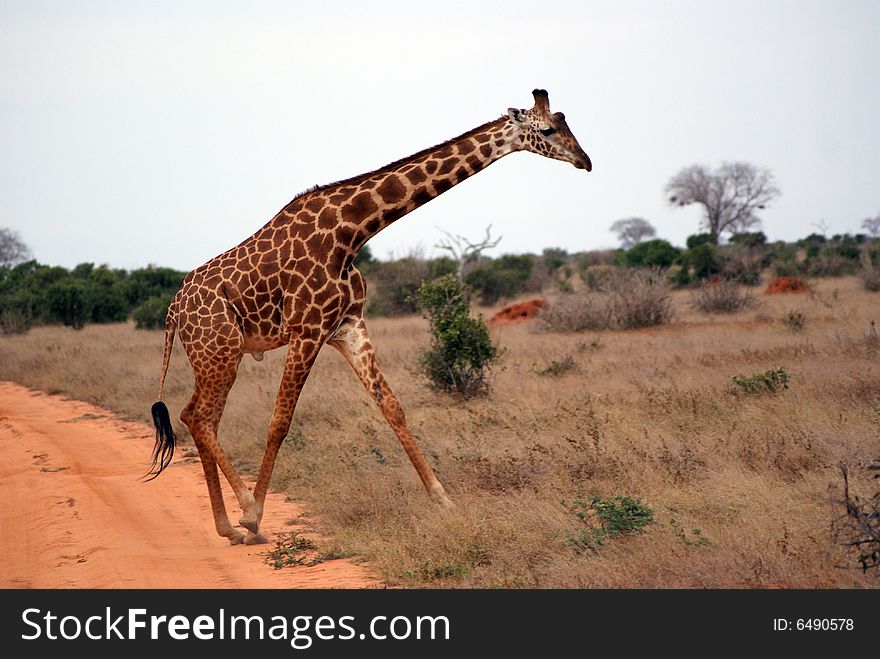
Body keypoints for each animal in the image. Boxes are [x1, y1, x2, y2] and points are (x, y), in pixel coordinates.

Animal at [150, 90, 592, 544]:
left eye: (565, 121)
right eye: (547, 129)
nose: (585, 160)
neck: (353, 231)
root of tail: (173, 309)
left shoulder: (347, 326)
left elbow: (392, 406)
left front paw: (444, 500)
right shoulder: (307, 328)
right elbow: (280, 422)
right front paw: (255, 512)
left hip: (219, 355)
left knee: (200, 417)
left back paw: (227, 527)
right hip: (219, 351)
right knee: (196, 416)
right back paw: (244, 515)